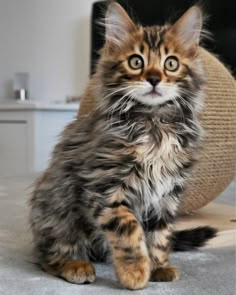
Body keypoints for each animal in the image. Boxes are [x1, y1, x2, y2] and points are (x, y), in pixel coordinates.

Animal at [30, 2, 218, 292]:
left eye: (171, 63)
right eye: (136, 61)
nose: (154, 78)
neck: (154, 124)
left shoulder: (167, 192)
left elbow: (160, 234)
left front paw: (159, 267)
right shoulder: (105, 185)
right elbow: (128, 229)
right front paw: (136, 272)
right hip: (58, 208)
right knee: (48, 254)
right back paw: (75, 265)